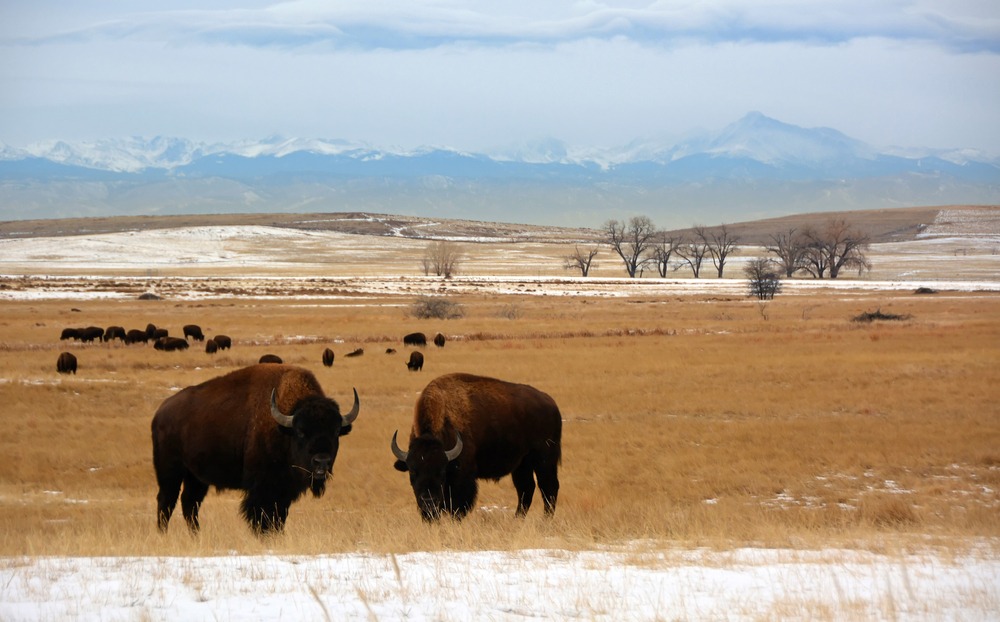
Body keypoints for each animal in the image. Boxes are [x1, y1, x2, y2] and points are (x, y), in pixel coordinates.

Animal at [151, 364, 360, 534]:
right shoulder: (262, 488)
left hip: (196, 478)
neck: (284, 428)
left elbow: (279, 517)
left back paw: (196, 536)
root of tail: (161, 412)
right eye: (301, 431)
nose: (321, 462)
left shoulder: (284, 491)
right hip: (170, 472)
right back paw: (164, 534)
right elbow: (262, 516)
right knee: (166, 501)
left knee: (189, 503)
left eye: (335, 431)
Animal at [391, 373, 562, 521]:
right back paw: (517, 519)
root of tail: (551, 403)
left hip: (544, 459)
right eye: (412, 471)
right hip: (522, 463)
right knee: (526, 488)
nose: (428, 501)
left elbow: (458, 506)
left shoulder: (462, 477)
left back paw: (545, 520)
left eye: (441, 472)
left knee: (548, 486)